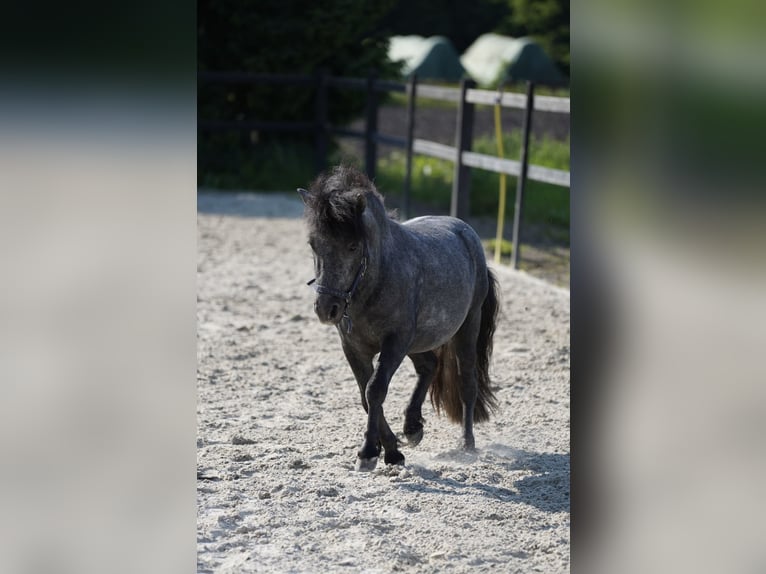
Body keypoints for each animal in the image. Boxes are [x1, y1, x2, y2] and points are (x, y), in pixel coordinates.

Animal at [300, 166, 504, 472]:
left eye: (352, 246)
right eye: (314, 245)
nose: (327, 309)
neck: (376, 280)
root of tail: (467, 234)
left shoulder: (395, 342)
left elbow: (375, 390)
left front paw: (369, 452)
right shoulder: (354, 348)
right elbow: (365, 396)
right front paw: (392, 450)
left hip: (467, 327)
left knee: (467, 383)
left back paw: (466, 445)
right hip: (419, 341)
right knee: (429, 366)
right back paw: (412, 427)